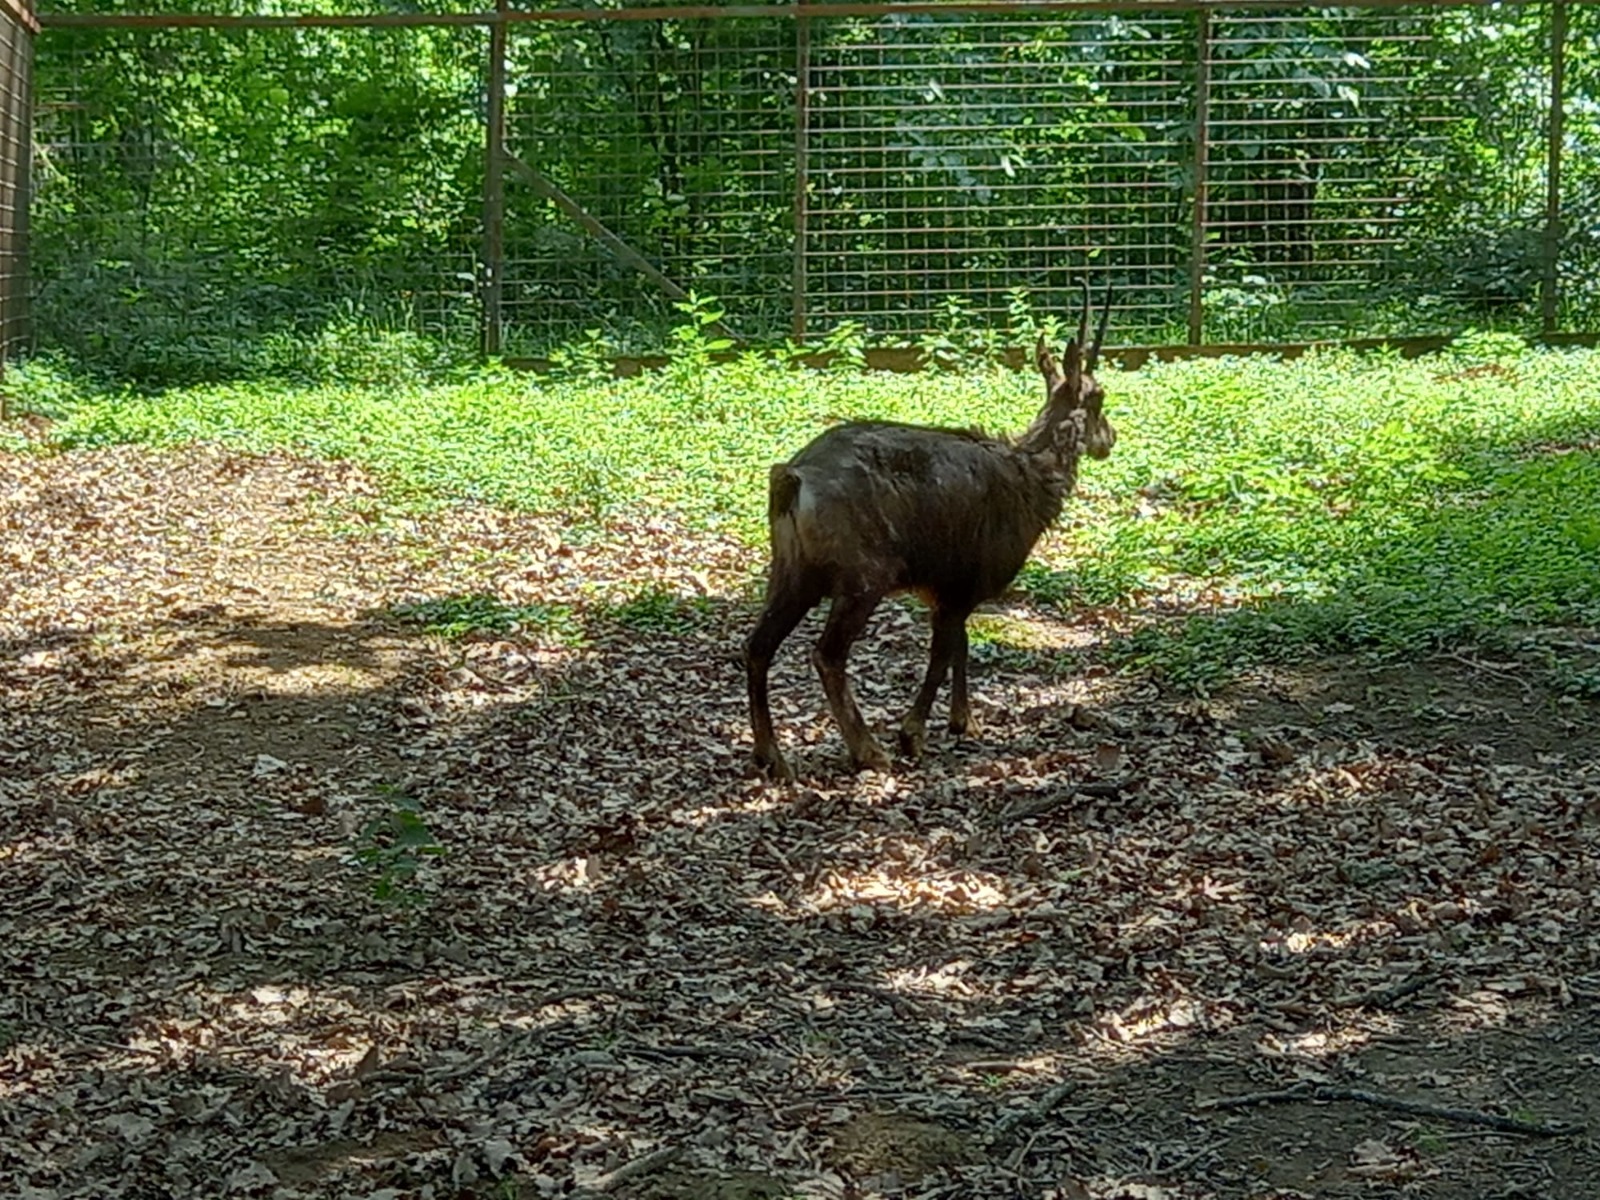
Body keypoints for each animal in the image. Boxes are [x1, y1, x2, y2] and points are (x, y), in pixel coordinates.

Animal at [745, 288, 1113, 784]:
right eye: (1099, 398)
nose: (1108, 440)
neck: (1030, 474)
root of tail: (795, 478)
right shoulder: (959, 587)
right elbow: (941, 656)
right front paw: (913, 734)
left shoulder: (947, 591)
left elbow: (961, 647)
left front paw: (965, 722)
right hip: (862, 578)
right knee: (827, 654)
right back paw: (869, 751)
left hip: (793, 572)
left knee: (758, 645)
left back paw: (773, 758)